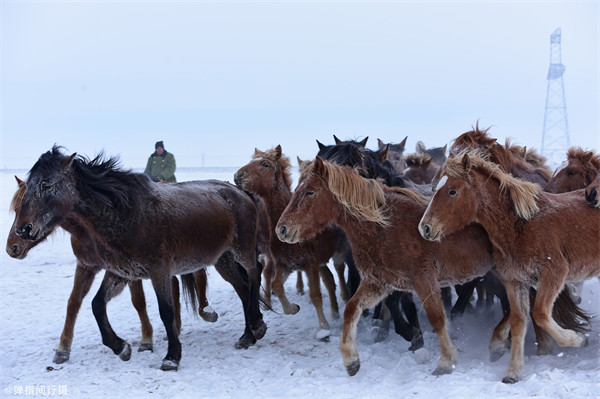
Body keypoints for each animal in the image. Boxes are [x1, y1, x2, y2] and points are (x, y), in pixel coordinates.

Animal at [9, 148, 266, 372]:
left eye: (47, 184)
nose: (23, 230)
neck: (128, 215)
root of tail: (239, 192)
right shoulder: (122, 272)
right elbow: (96, 304)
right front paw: (121, 347)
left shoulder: (159, 271)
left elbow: (166, 311)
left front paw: (172, 357)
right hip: (223, 260)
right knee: (242, 287)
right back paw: (247, 335)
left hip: (242, 250)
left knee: (255, 273)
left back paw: (257, 325)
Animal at [276, 157, 496, 378]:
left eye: (310, 191)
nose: (282, 229)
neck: (386, 226)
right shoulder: (379, 282)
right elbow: (352, 309)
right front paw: (351, 360)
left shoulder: (423, 279)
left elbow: (436, 318)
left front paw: (446, 361)